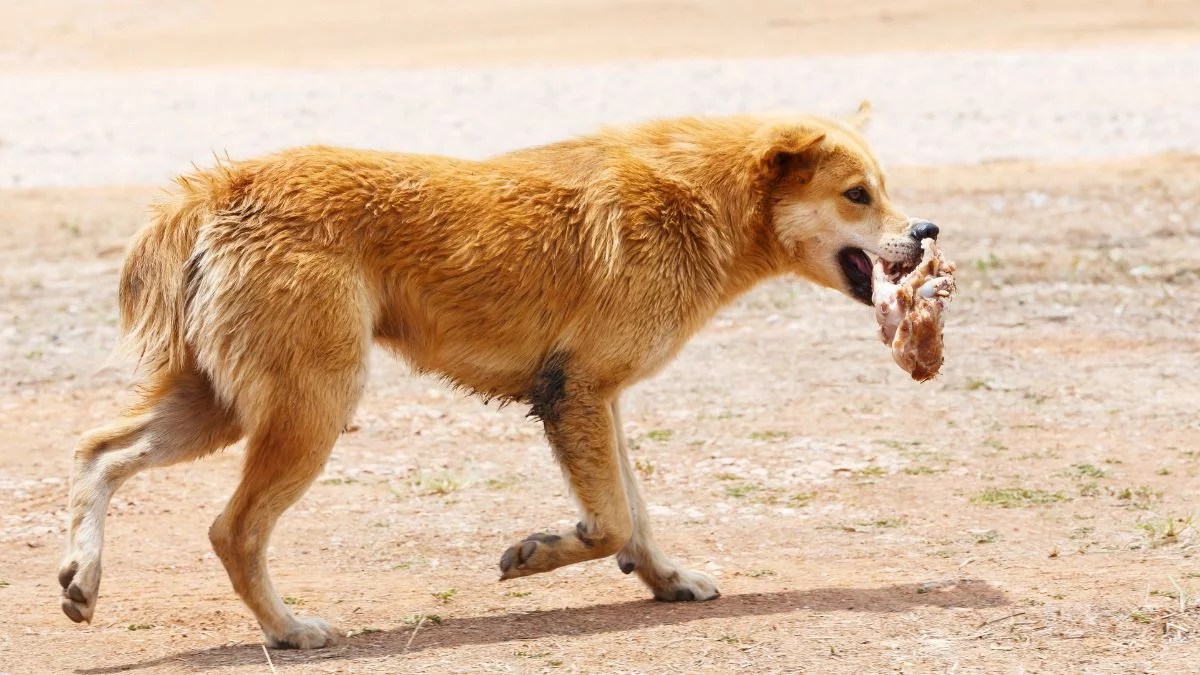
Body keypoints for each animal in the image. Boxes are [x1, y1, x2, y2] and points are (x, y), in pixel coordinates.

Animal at [58, 105, 936, 648]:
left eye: (884, 189)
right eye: (857, 195)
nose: (927, 229)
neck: (699, 202)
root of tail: (219, 188)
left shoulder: (600, 401)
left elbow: (637, 517)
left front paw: (665, 579)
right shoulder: (574, 393)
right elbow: (609, 523)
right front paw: (540, 552)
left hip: (224, 404)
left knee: (98, 450)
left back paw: (82, 577)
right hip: (310, 408)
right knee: (231, 529)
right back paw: (288, 629)